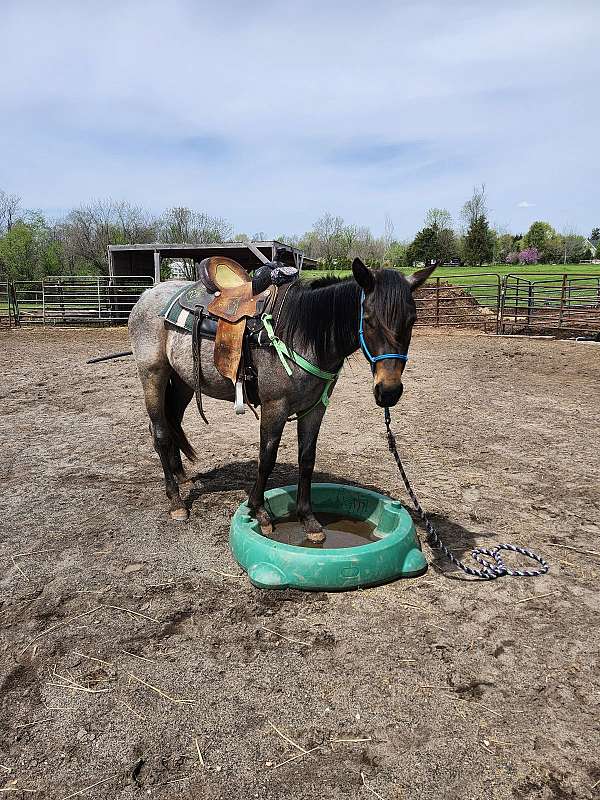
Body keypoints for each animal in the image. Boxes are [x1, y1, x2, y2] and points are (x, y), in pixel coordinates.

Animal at [127, 257, 436, 542]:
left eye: (412, 320)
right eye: (368, 319)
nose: (389, 391)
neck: (302, 333)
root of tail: (147, 294)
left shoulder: (316, 407)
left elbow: (307, 458)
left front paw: (308, 519)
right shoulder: (275, 406)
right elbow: (267, 457)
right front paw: (259, 510)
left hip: (184, 381)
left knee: (173, 421)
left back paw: (181, 475)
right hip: (153, 374)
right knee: (160, 433)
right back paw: (176, 501)